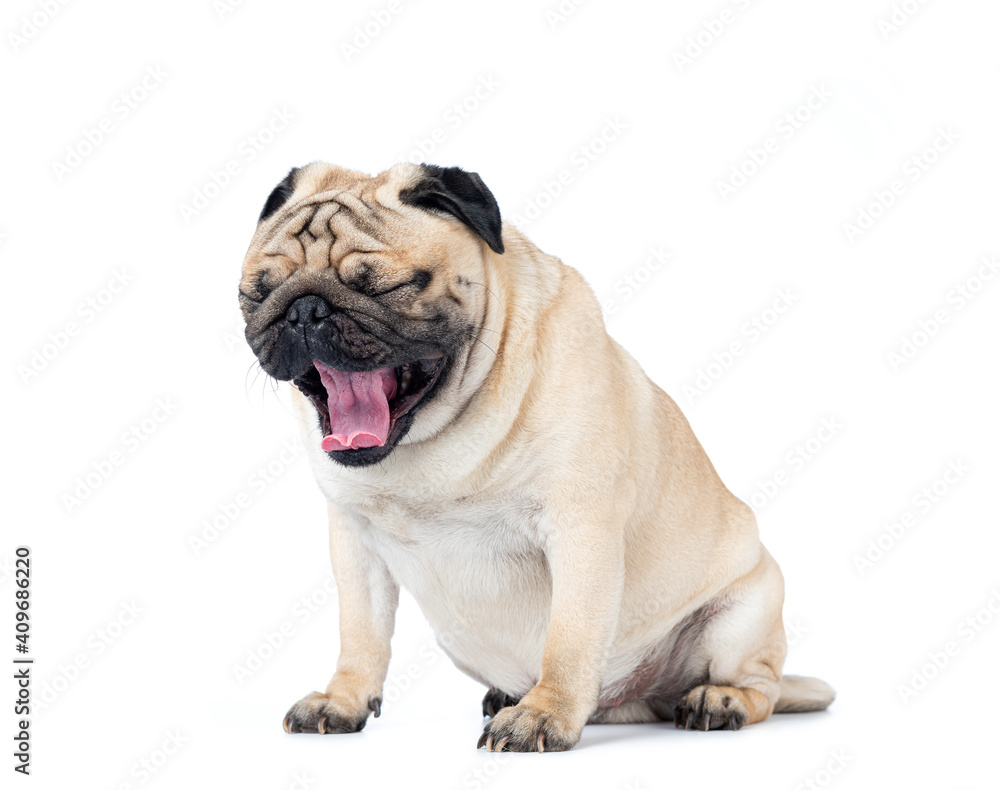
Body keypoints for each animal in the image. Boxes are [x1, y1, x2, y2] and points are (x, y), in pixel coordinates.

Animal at [238, 161, 832, 756]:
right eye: (255, 295)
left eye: (390, 287)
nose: (303, 310)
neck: (436, 439)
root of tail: (643, 698)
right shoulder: (355, 547)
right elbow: (361, 634)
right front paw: (344, 700)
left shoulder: (580, 533)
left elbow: (569, 639)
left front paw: (544, 715)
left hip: (742, 617)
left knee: (762, 688)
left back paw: (719, 700)